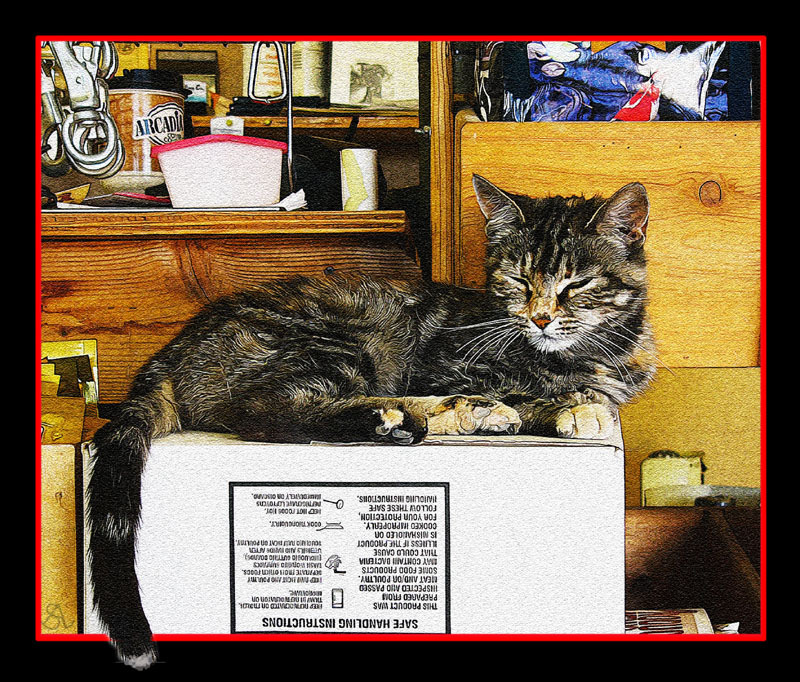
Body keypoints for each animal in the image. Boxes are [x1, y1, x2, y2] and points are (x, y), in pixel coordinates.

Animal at [86, 174, 656, 664]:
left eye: (576, 284)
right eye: (517, 279)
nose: (540, 318)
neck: (582, 354)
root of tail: (174, 349)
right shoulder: (444, 364)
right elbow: (528, 392)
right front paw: (569, 409)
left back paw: (453, 415)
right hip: (346, 335)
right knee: (262, 411)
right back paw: (396, 417)